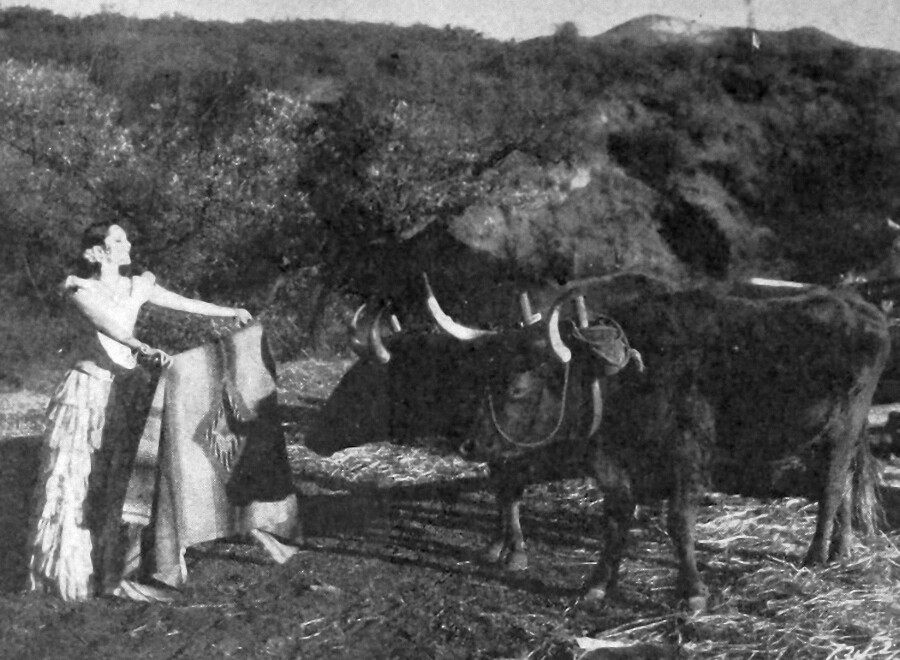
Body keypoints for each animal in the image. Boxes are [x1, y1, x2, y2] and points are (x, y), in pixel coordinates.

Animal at [437, 274, 889, 611]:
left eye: (518, 387)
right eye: (485, 374)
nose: (469, 445)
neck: (623, 374)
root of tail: (867, 310)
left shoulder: (688, 460)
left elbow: (679, 522)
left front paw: (692, 593)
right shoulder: (614, 465)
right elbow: (616, 519)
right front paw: (597, 585)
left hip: (844, 428)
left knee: (831, 487)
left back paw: (815, 557)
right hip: (833, 436)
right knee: (845, 486)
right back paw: (840, 550)